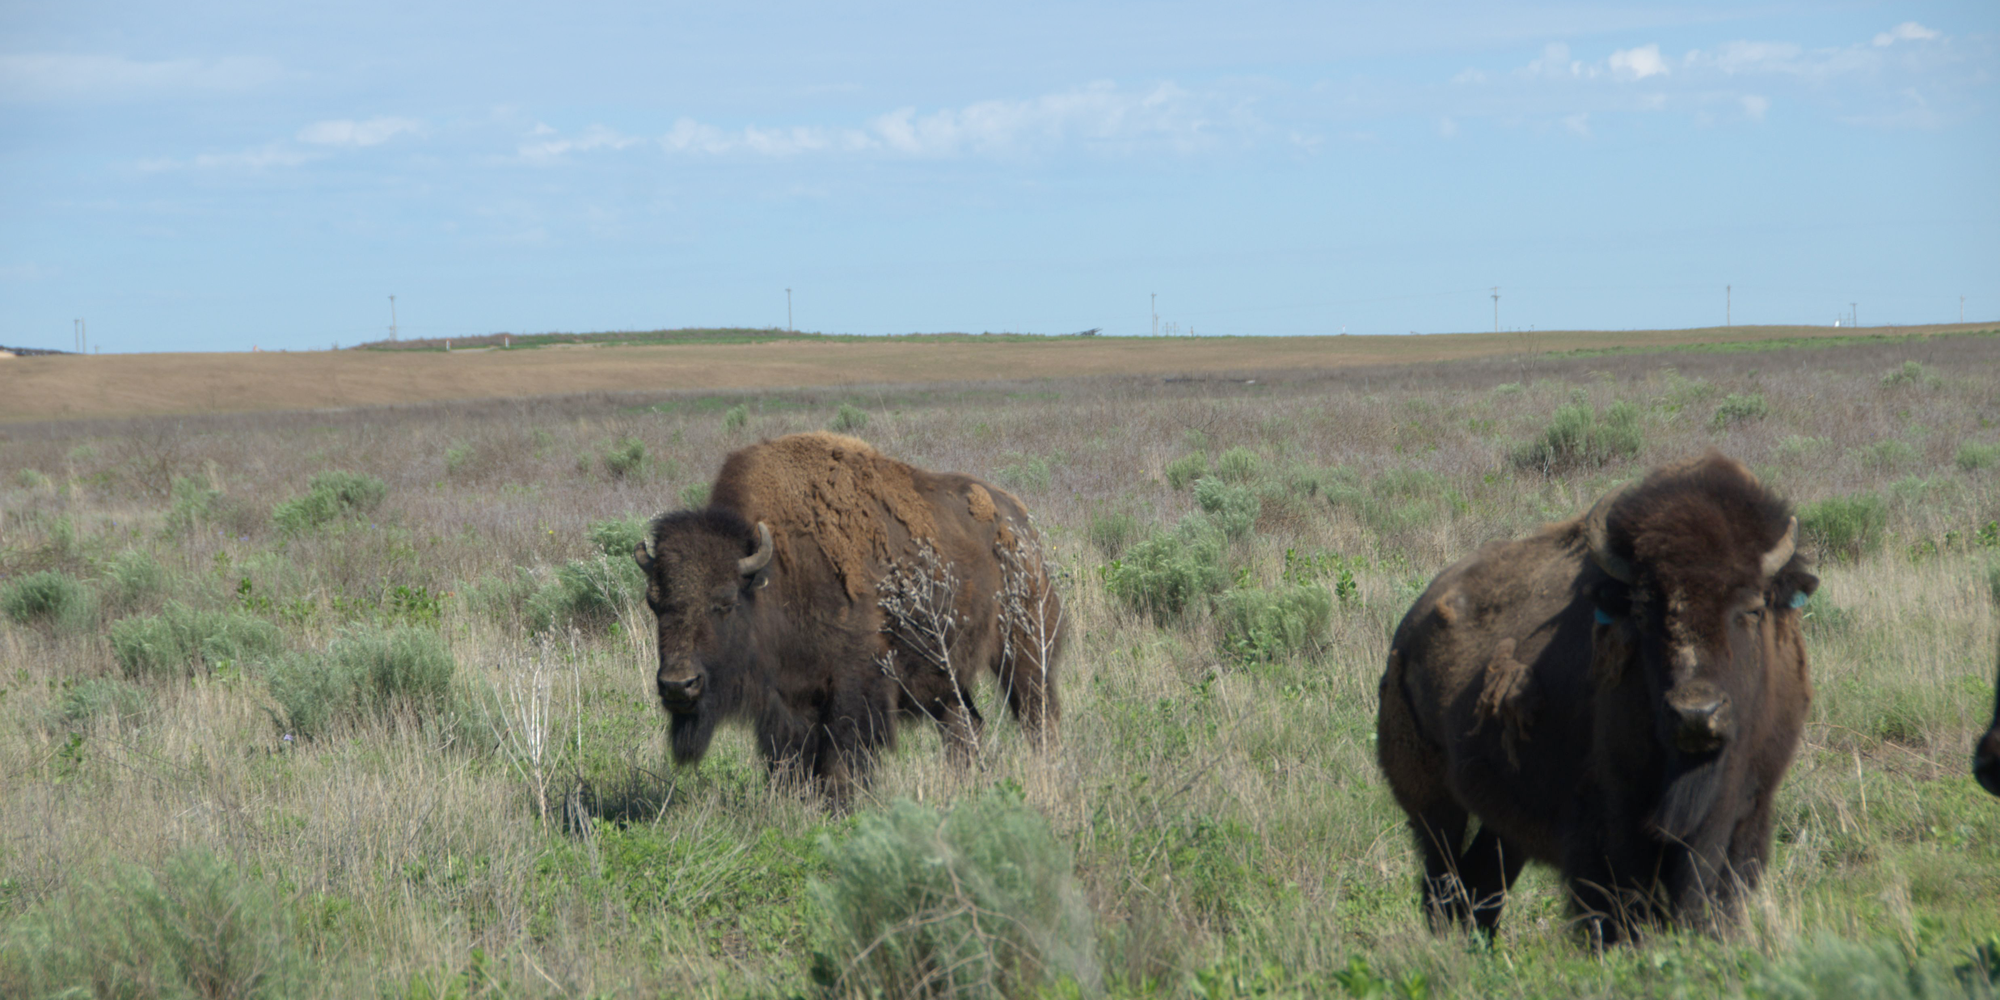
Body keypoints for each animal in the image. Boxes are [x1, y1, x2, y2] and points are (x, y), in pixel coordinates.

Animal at [632, 430, 1064, 796]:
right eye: (655, 602)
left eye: (724, 602)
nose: (678, 685)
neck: (774, 573)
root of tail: (1022, 525)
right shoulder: (788, 701)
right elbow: (791, 763)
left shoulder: (851, 689)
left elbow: (842, 759)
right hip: (945, 677)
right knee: (965, 726)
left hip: (1021, 649)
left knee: (1037, 715)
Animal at [1384, 456, 1824, 944]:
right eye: (1644, 610)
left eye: (1751, 608)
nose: (1696, 713)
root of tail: (1410, 628)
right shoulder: (1610, 820)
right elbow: (1619, 904)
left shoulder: (1747, 809)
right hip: (1433, 804)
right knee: (1442, 882)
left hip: (1501, 820)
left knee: (1482, 884)